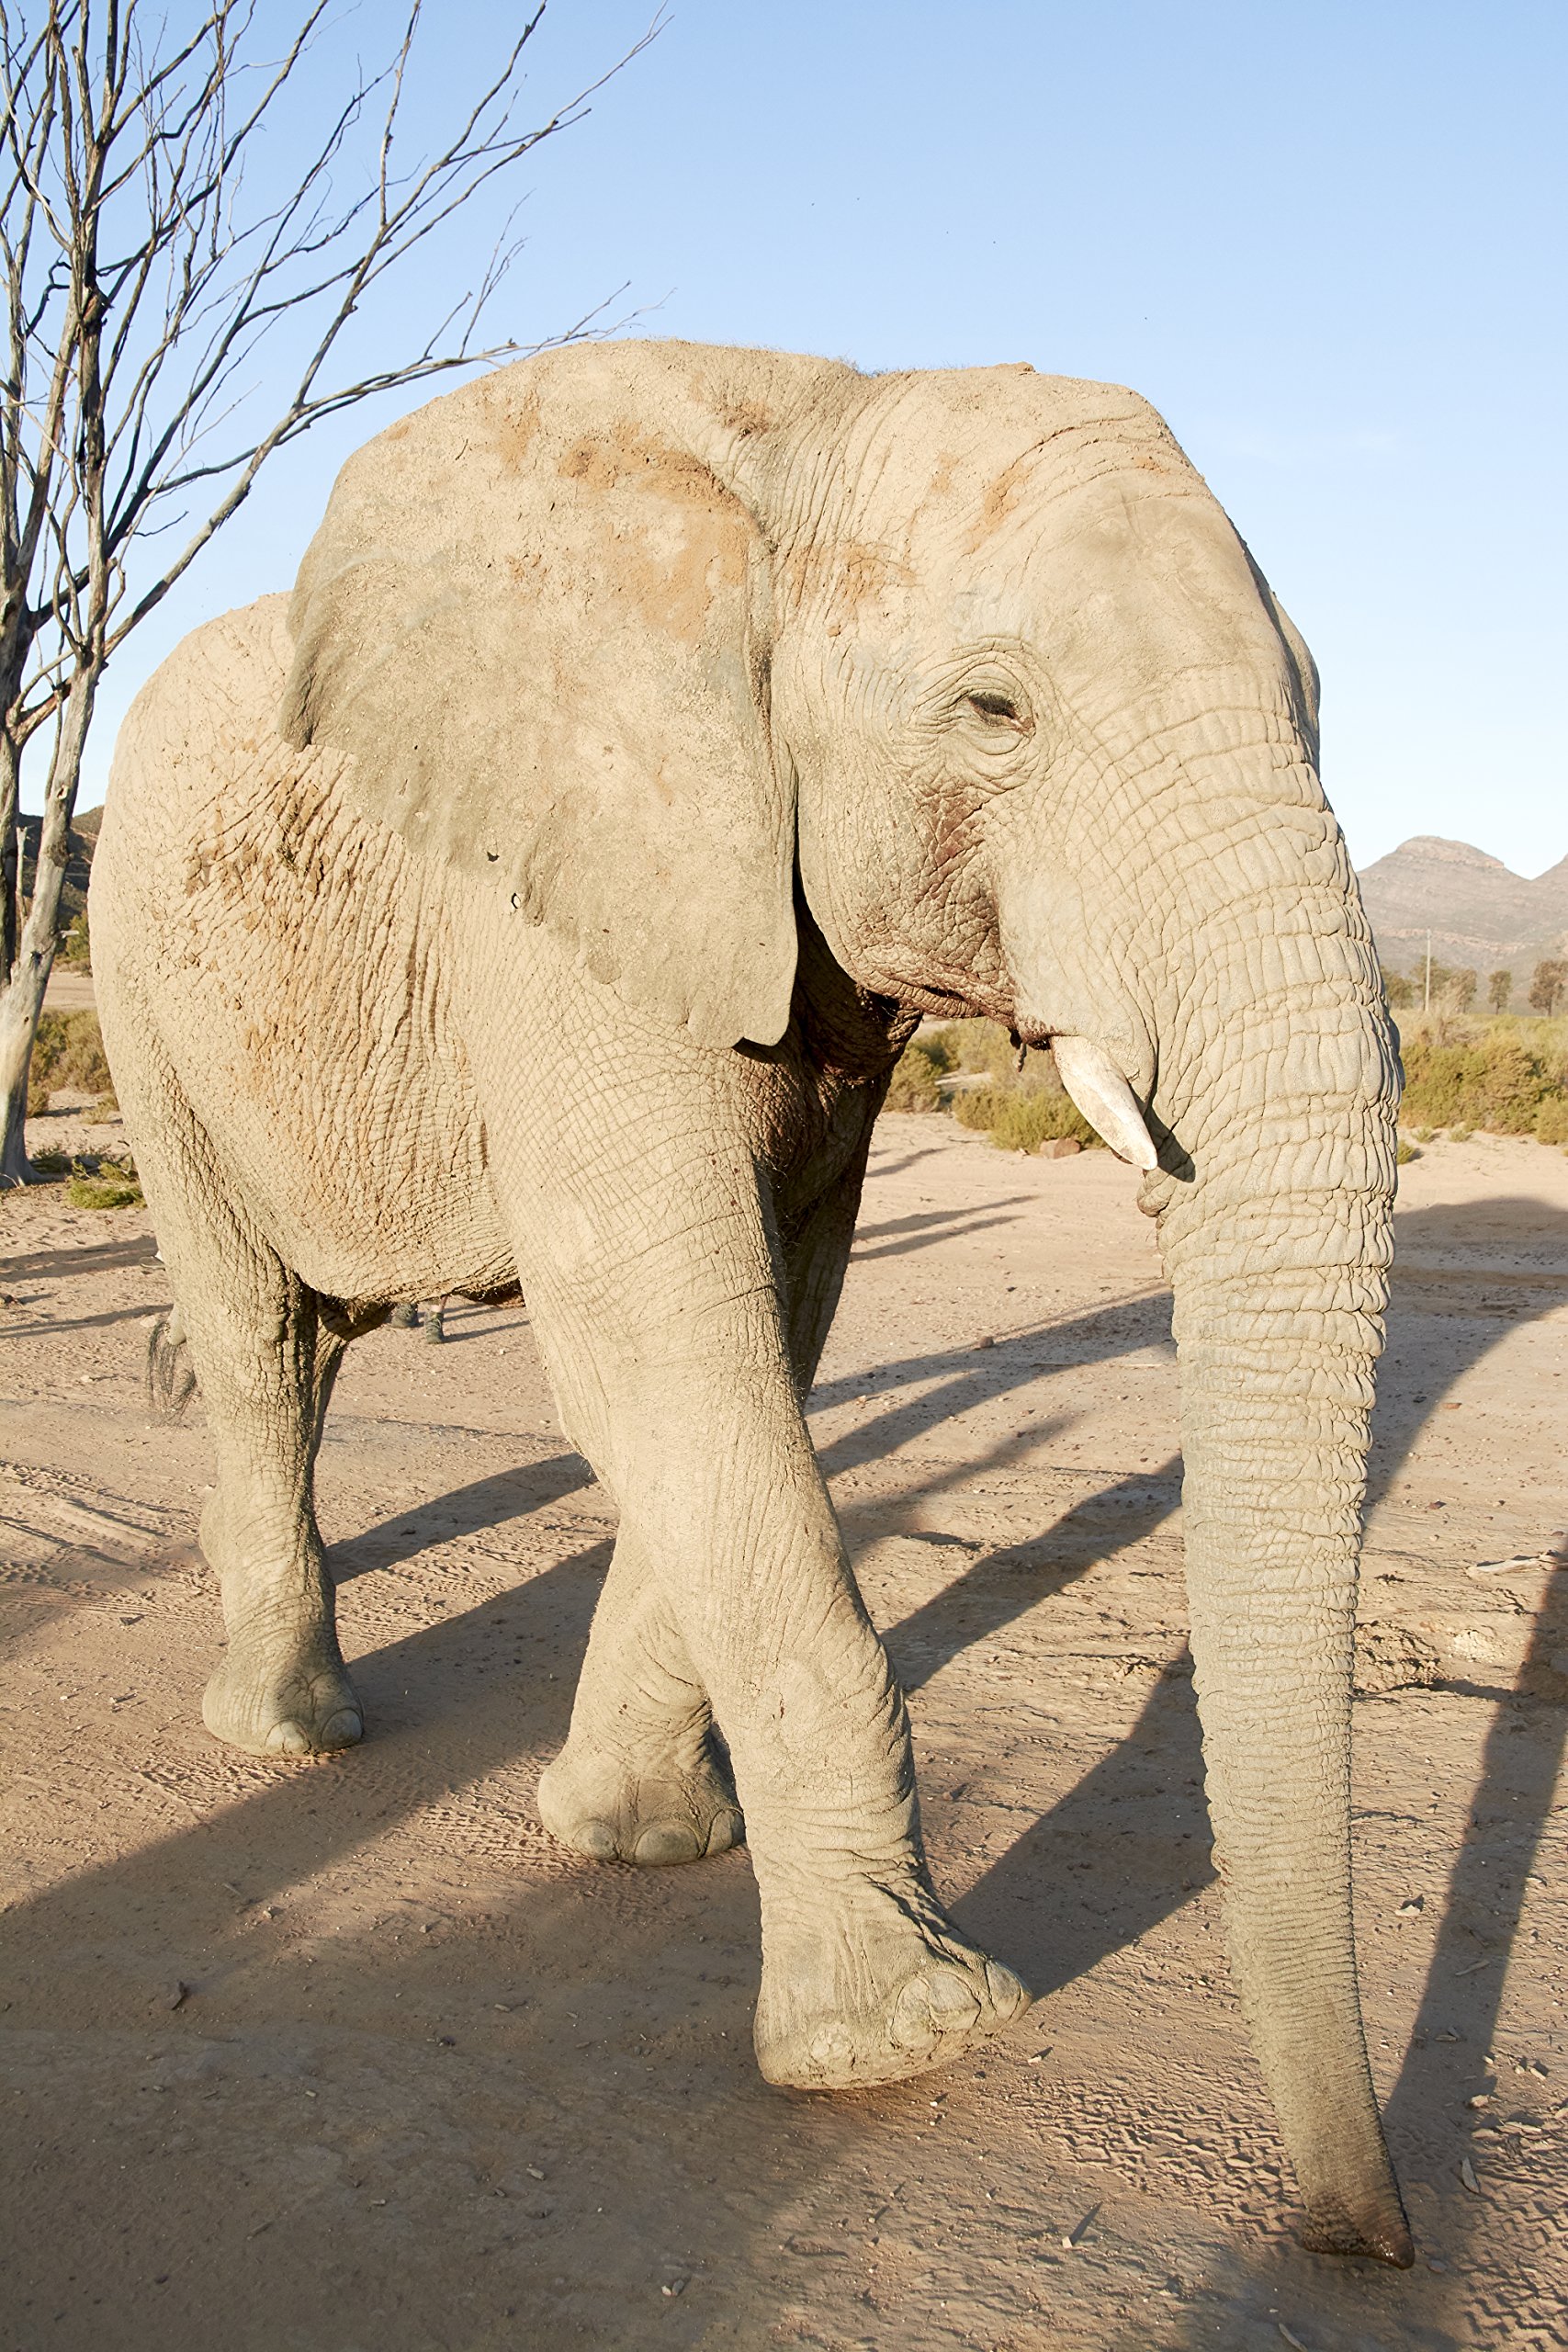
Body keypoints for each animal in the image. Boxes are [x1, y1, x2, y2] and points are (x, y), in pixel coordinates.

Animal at [90, 338, 1411, 2266]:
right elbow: (653, 1325)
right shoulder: (565, 882)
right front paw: (907, 2038)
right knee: (251, 1320)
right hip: (136, 979)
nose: (1359, 2239)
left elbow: (769, 1322)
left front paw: (634, 1843)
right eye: (993, 713)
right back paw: (287, 1733)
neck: (814, 424)